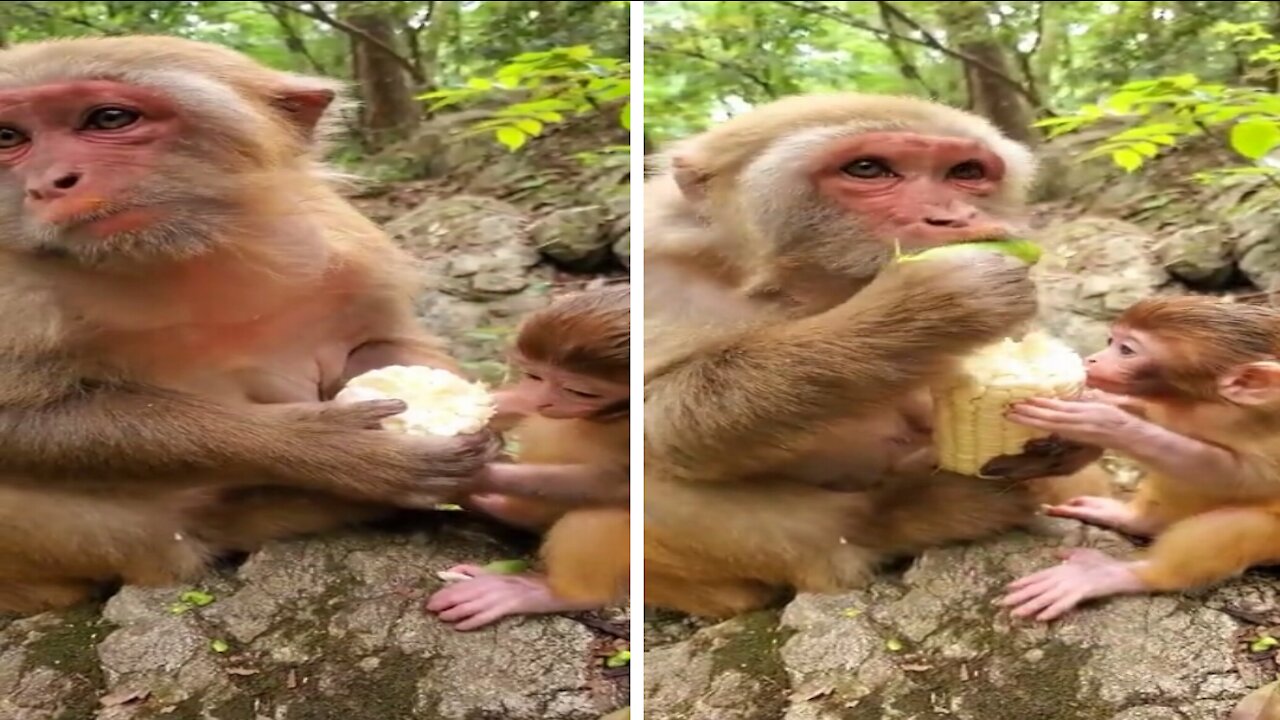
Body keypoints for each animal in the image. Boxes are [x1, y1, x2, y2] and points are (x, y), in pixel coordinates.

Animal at [0, 37, 496, 609]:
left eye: (109, 118)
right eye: (10, 137)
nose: (48, 184)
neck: (181, 256)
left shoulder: (344, 247)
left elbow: (378, 341)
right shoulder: (15, 294)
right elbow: (13, 422)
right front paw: (332, 448)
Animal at [427, 281, 632, 627]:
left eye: (579, 391)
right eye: (535, 376)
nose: (545, 401)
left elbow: (621, 483)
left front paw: (473, 474)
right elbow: (519, 401)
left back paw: (556, 592)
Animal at [645, 92, 1105, 614]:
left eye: (965, 171)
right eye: (868, 169)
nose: (955, 218)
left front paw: (1078, 427)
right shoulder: (664, 278)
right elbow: (664, 421)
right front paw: (933, 303)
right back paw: (901, 515)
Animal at [1003, 294, 1280, 620]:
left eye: (1126, 350)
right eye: (1111, 340)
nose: (1091, 359)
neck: (1203, 403)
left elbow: (1238, 477)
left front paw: (1104, 422)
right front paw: (1101, 402)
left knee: (1239, 526)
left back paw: (1119, 573)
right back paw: (1135, 520)